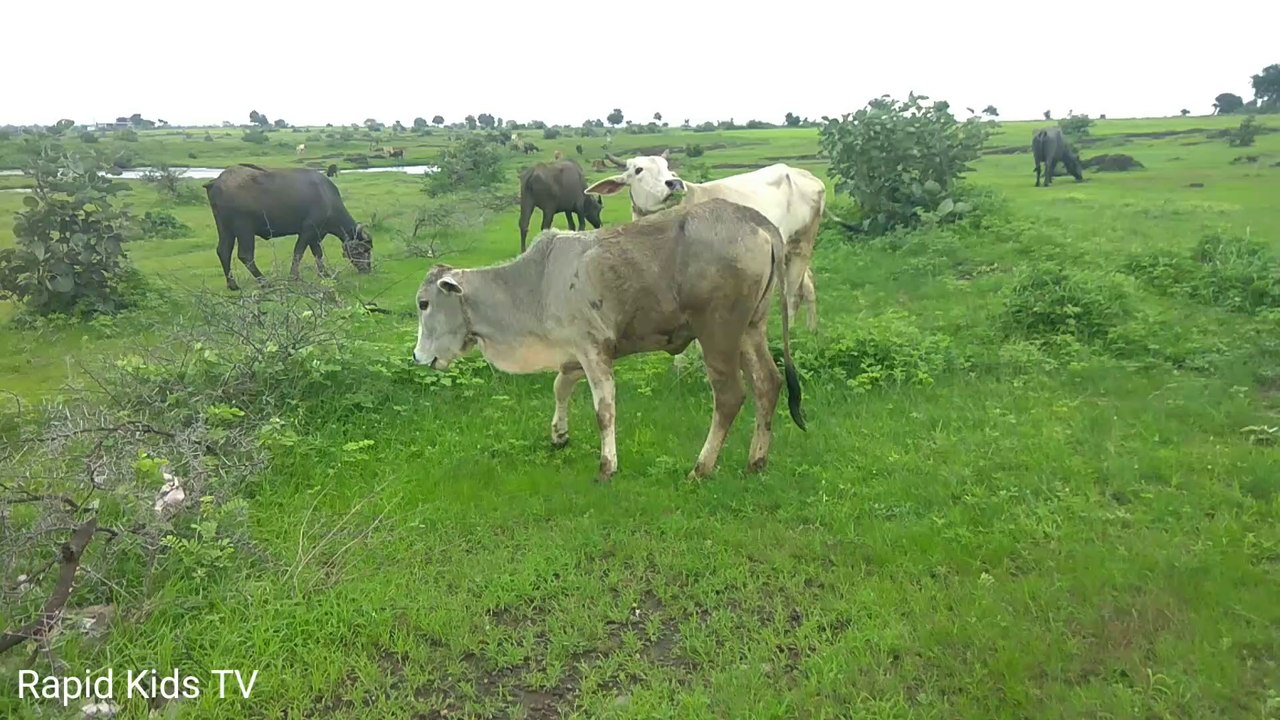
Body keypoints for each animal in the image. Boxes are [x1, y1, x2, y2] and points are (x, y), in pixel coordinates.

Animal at [204, 164, 372, 290]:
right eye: (364, 250)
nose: (368, 270)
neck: (327, 198)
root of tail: (217, 181)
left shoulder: (316, 234)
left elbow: (318, 254)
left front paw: (325, 274)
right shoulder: (308, 230)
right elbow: (298, 252)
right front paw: (293, 277)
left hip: (225, 228)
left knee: (223, 251)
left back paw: (232, 284)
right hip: (244, 228)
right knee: (245, 255)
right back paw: (265, 282)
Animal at [411, 198, 807, 483]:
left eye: (423, 303)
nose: (418, 356)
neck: (536, 282)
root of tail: (755, 220)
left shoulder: (593, 348)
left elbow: (604, 409)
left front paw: (607, 465)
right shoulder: (572, 350)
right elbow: (560, 386)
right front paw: (559, 435)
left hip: (717, 333)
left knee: (729, 396)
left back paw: (701, 467)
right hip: (751, 329)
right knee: (767, 384)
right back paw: (756, 461)